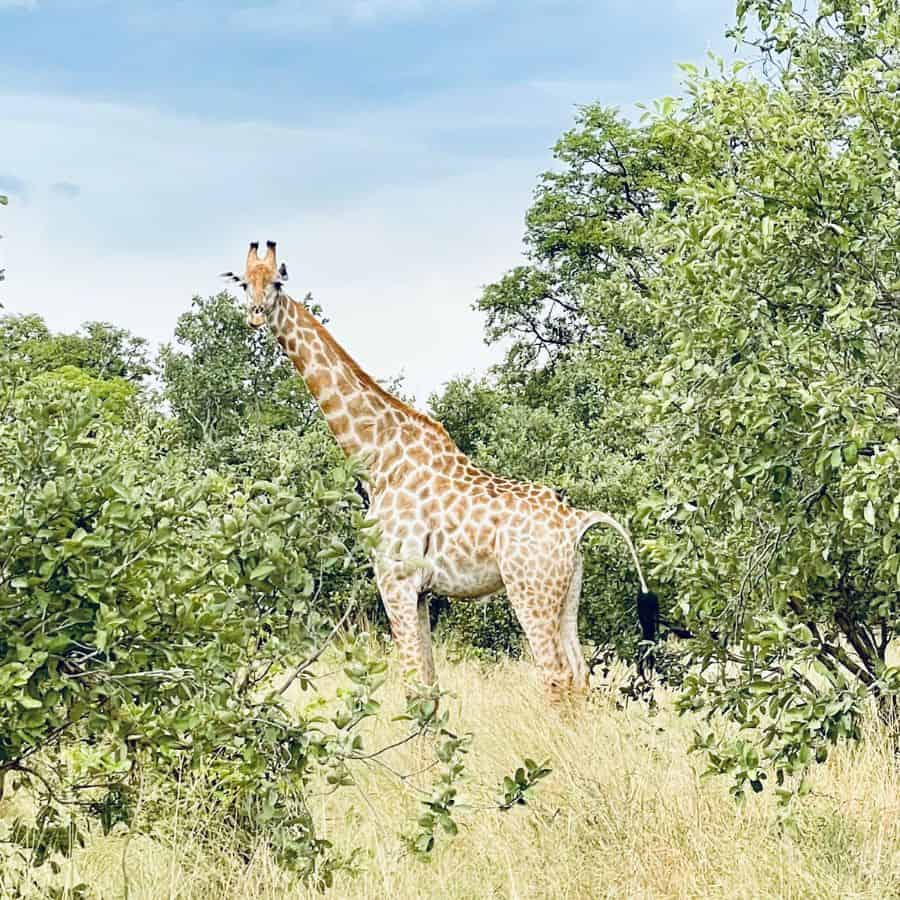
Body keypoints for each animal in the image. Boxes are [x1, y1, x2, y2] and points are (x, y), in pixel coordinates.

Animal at [222, 241, 657, 699]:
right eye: (244, 283)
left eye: (277, 282)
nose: (255, 315)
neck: (378, 457)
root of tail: (578, 522)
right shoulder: (422, 593)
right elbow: (429, 684)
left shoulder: (395, 580)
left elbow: (413, 682)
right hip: (568, 589)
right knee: (579, 672)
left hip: (529, 589)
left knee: (554, 673)